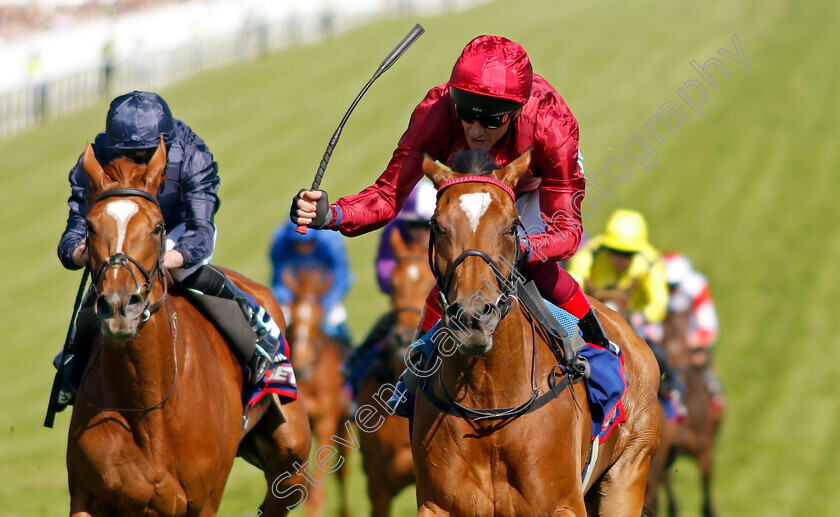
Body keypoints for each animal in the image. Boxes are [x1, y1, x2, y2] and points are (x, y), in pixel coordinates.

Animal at [67, 138, 312, 516]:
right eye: (91, 227)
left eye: (157, 226)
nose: (120, 306)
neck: (149, 406)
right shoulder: (87, 496)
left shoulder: (202, 500)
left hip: (291, 448)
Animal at [414, 150, 664, 516]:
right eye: (437, 226)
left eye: (510, 228)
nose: (473, 319)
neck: (490, 400)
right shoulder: (439, 505)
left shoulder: (563, 504)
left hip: (629, 470)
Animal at [660, 306, 724, 516]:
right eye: (663, 332)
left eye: (686, 326)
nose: (673, 356)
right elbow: (673, 504)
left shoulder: (704, 452)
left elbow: (708, 504)